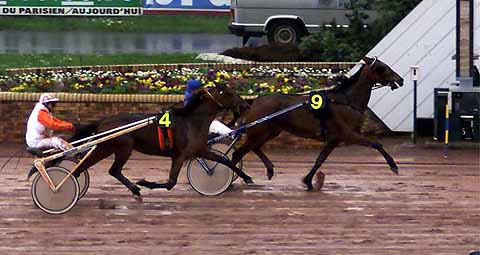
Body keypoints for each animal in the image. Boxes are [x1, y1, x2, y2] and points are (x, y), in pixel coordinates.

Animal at [70, 84, 255, 198]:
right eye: (230, 93)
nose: (246, 105)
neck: (192, 120)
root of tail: (104, 121)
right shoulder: (180, 155)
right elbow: (171, 183)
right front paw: (144, 182)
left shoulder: (200, 150)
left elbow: (224, 161)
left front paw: (246, 178)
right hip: (122, 148)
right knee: (112, 170)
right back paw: (134, 188)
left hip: (106, 148)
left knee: (86, 168)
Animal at [231, 56, 404, 190]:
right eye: (383, 68)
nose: (400, 80)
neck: (346, 101)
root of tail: (254, 102)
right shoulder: (348, 135)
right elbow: (376, 144)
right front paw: (393, 166)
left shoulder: (334, 139)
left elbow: (320, 159)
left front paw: (308, 181)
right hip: (260, 131)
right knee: (237, 153)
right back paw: (243, 177)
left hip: (270, 131)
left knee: (254, 148)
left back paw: (269, 169)